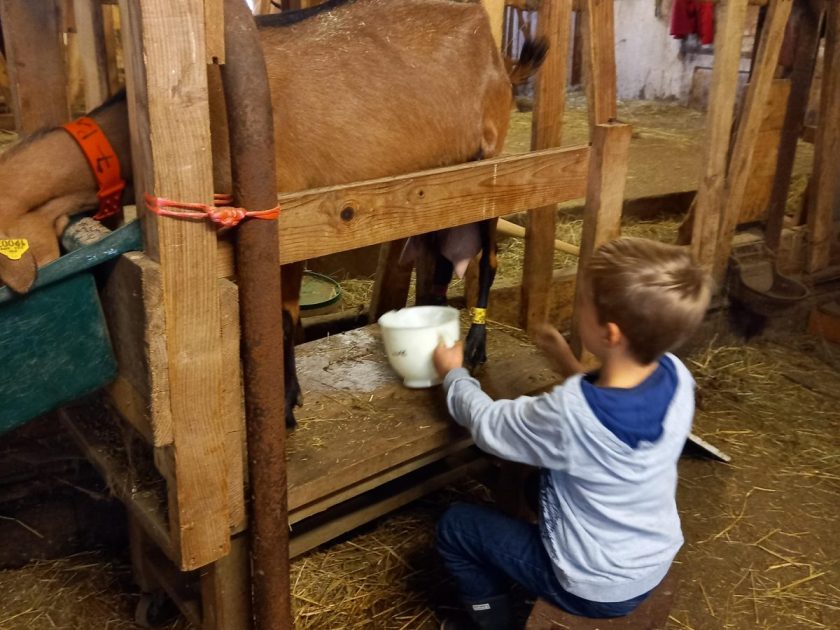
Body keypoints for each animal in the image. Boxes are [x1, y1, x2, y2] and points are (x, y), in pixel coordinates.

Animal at [0, 0, 548, 428]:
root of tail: (499, 54)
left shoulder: (289, 222)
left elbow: (282, 319)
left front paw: (283, 405)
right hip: (436, 189)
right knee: (437, 264)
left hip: (489, 165)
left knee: (488, 259)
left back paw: (475, 344)